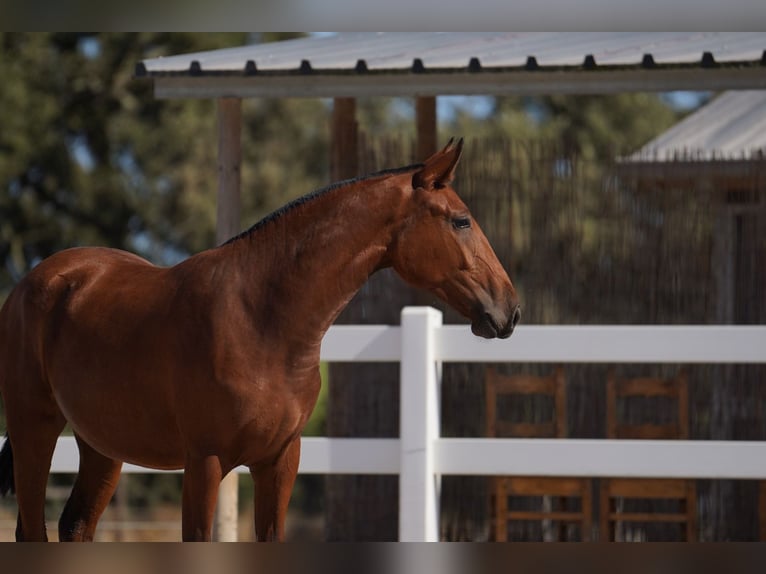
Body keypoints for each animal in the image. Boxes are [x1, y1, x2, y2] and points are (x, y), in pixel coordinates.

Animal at [0, 140, 520, 544]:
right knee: (32, 529)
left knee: (75, 527)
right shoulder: (205, 463)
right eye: (461, 221)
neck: (261, 321)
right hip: (34, 430)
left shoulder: (279, 462)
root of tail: (35, 280)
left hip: (102, 447)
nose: (509, 310)